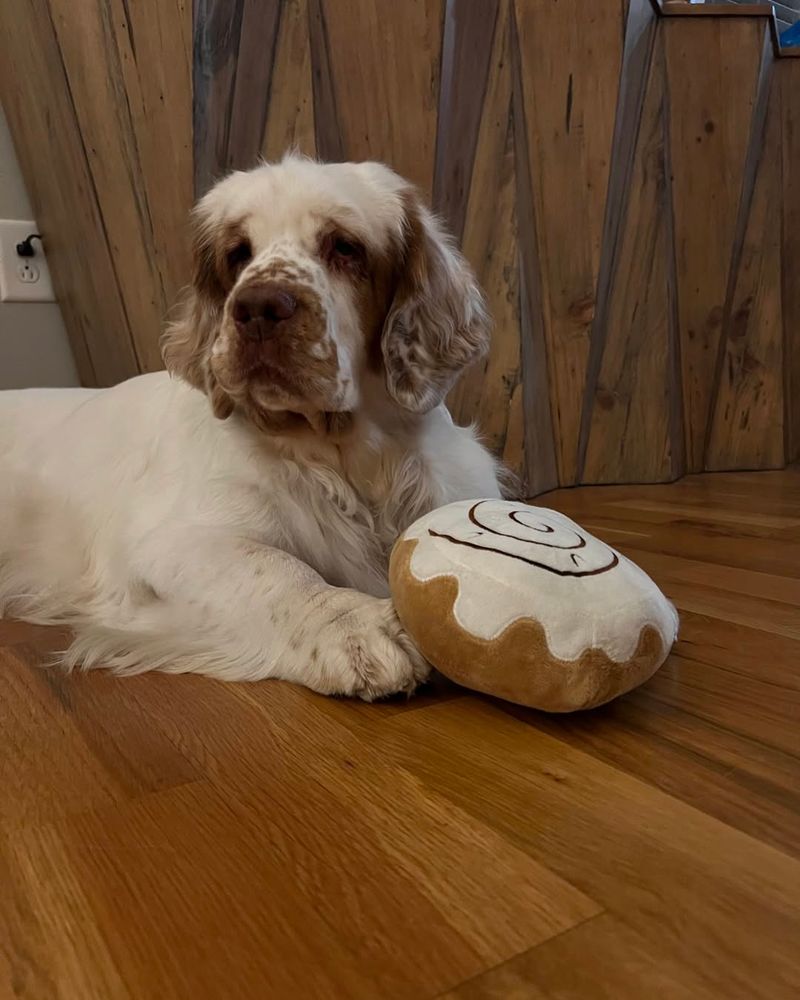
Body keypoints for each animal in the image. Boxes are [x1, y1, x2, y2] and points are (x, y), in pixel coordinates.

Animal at [0, 160, 500, 700]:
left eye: (345, 247)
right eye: (238, 254)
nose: (258, 307)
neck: (343, 457)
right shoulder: (172, 545)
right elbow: (278, 568)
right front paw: (356, 625)